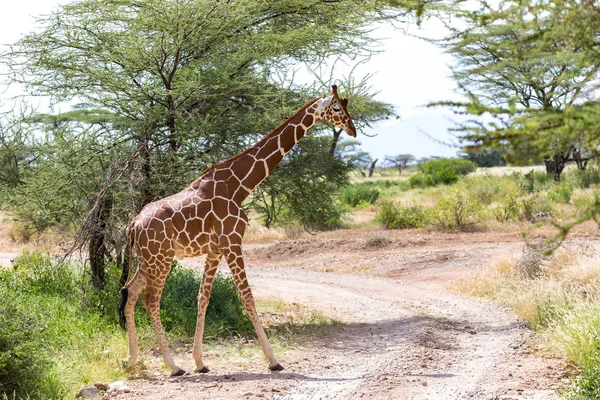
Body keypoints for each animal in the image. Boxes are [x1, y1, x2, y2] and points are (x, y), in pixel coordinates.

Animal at [119, 83, 358, 376]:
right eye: (336, 108)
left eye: (346, 106)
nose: (352, 129)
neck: (240, 186)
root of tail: (133, 224)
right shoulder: (233, 242)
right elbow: (247, 297)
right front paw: (273, 360)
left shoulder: (215, 250)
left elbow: (203, 297)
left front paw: (200, 361)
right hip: (161, 259)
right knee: (150, 300)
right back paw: (173, 366)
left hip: (148, 260)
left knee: (129, 291)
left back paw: (132, 359)